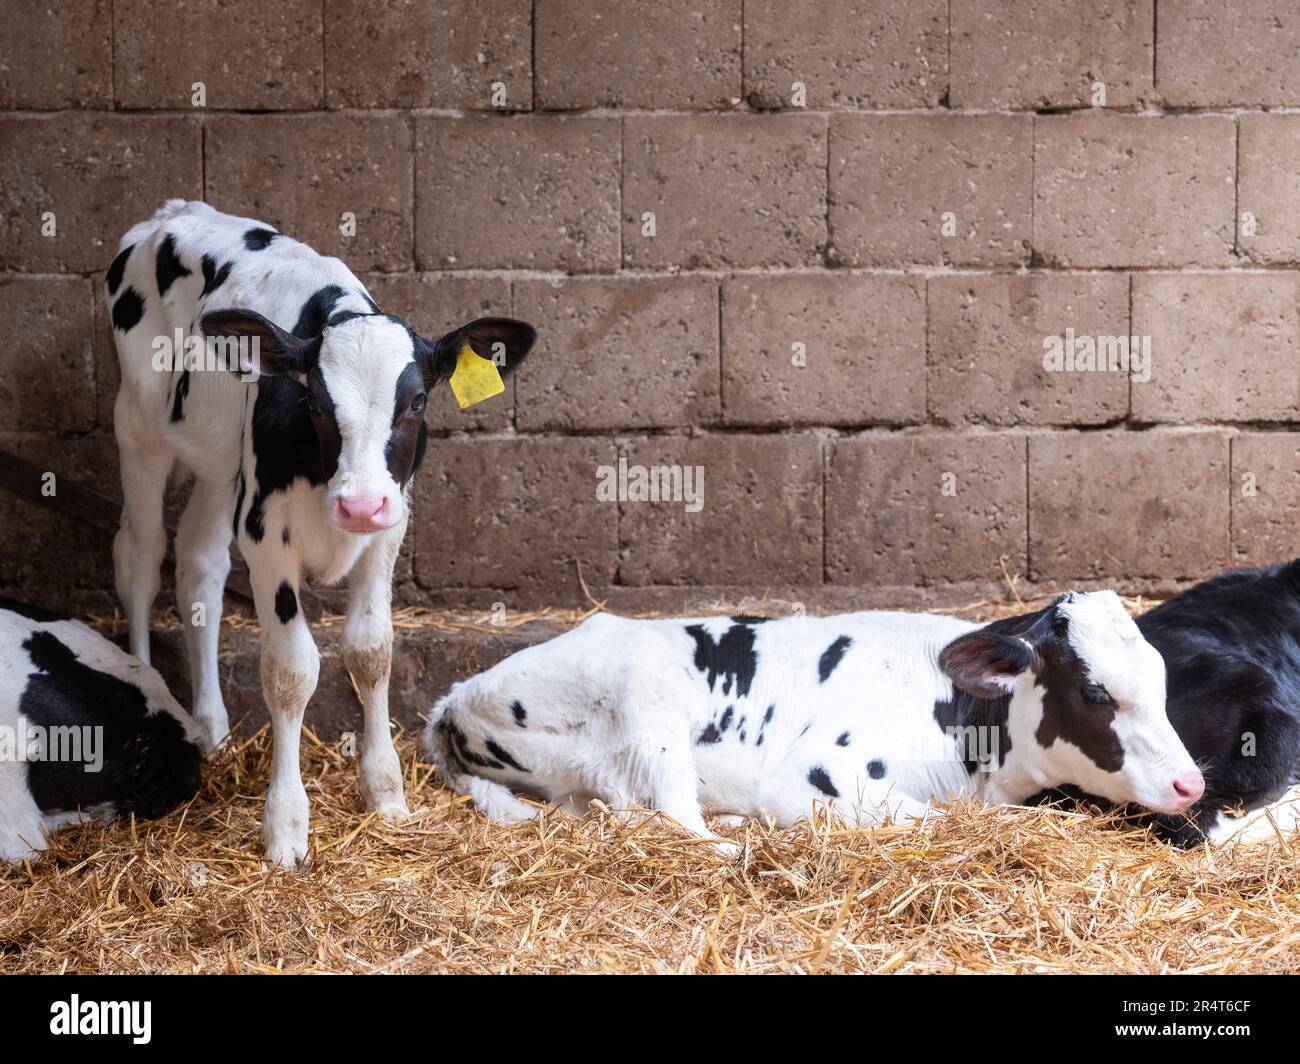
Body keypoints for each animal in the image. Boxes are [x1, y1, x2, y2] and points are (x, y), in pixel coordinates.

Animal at [106, 200, 536, 866]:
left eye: (417, 401)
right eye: (313, 402)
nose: (358, 505)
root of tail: (172, 212)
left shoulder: (390, 523)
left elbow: (371, 649)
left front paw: (385, 794)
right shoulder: (263, 532)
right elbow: (292, 669)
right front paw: (285, 826)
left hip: (221, 466)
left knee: (198, 566)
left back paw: (212, 731)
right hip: (139, 429)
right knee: (142, 558)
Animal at [422, 590, 1204, 850]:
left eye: (1162, 683)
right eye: (1099, 694)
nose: (1191, 785)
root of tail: (455, 694)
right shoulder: (818, 775)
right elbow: (928, 821)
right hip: (649, 699)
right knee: (673, 819)